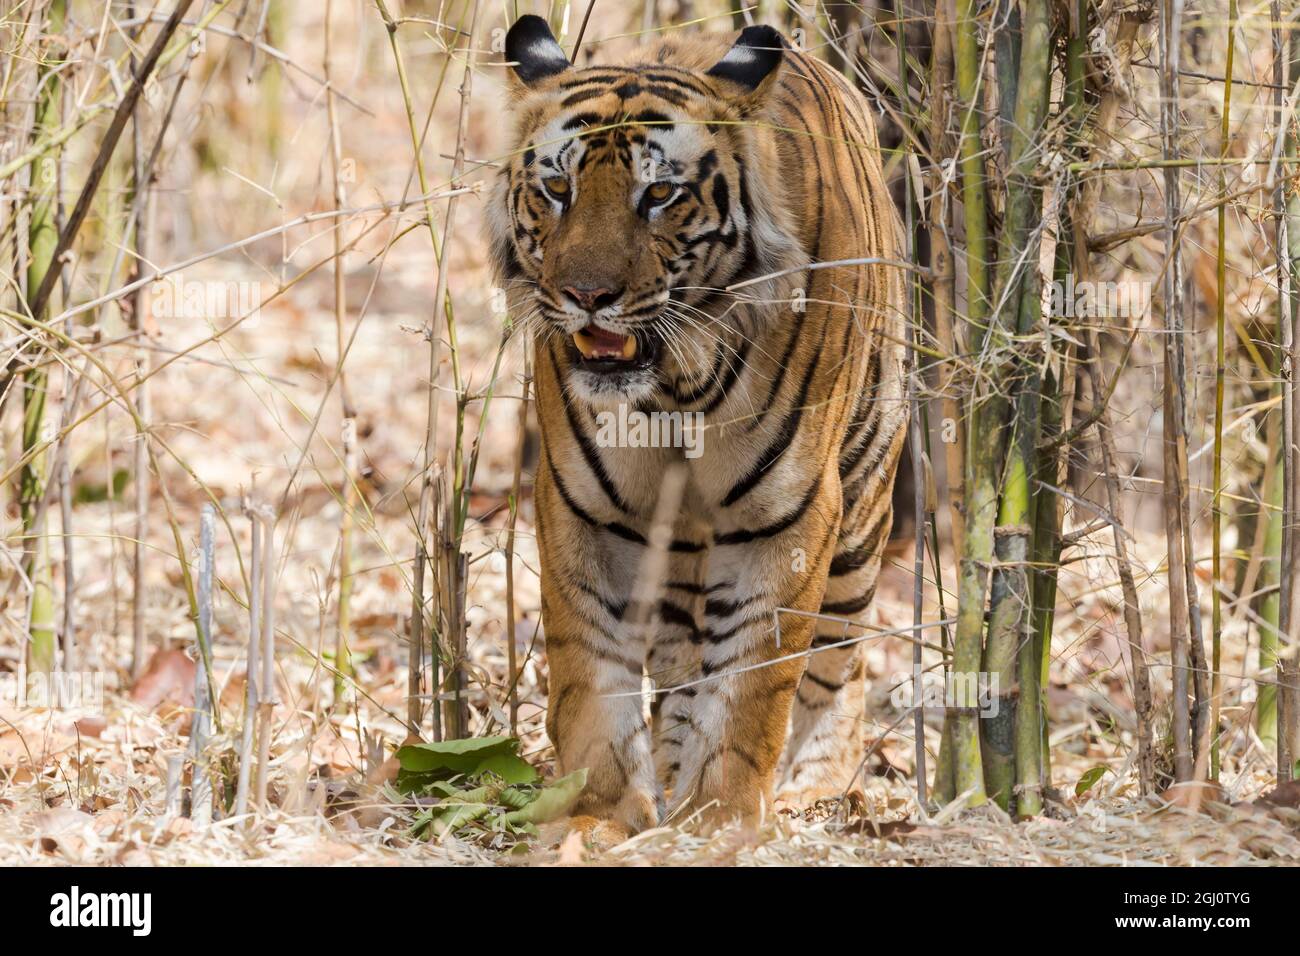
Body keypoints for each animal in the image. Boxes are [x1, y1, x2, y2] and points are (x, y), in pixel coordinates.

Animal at [488, 13, 904, 837]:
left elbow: (753, 684)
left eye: (658, 194)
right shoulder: (582, 507)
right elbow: (590, 673)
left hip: (863, 509)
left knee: (842, 661)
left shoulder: (792, 515)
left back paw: (813, 786)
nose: (587, 295)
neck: (675, 390)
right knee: (683, 662)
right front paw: (601, 816)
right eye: (558, 188)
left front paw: (724, 819)